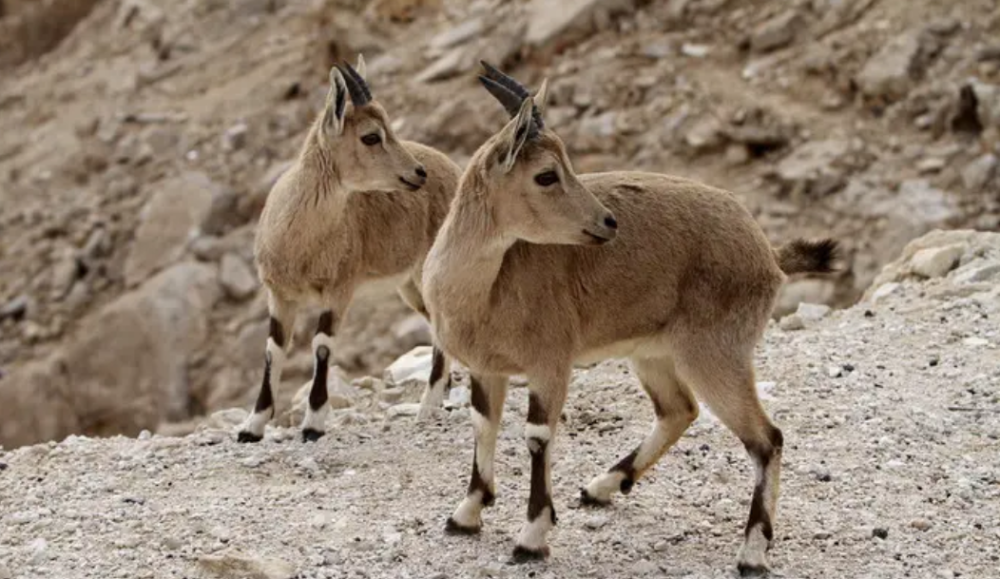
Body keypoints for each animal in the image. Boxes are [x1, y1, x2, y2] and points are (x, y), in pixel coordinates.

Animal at [238, 56, 460, 442]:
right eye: (371, 136)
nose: (418, 173)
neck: (301, 242)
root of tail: (455, 169)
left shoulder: (339, 290)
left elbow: (322, 344)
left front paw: (313, 424)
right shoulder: (279, 295)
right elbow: (273, 350)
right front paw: (252, 426)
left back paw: (428, 406)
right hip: (410, 285)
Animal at [418, 63, 840, 576]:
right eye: (546, 175)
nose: (607, 222)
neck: (483, 290)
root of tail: (768, 254)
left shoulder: (550, 364)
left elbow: (538, 436)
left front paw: (532, 537)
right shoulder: (486, 369)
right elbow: (484, 425)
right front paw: (466, 513)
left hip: (716, 352)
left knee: (766, 438)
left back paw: (753, 551)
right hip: (654, 353)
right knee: (679, 409)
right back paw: (601, 486)